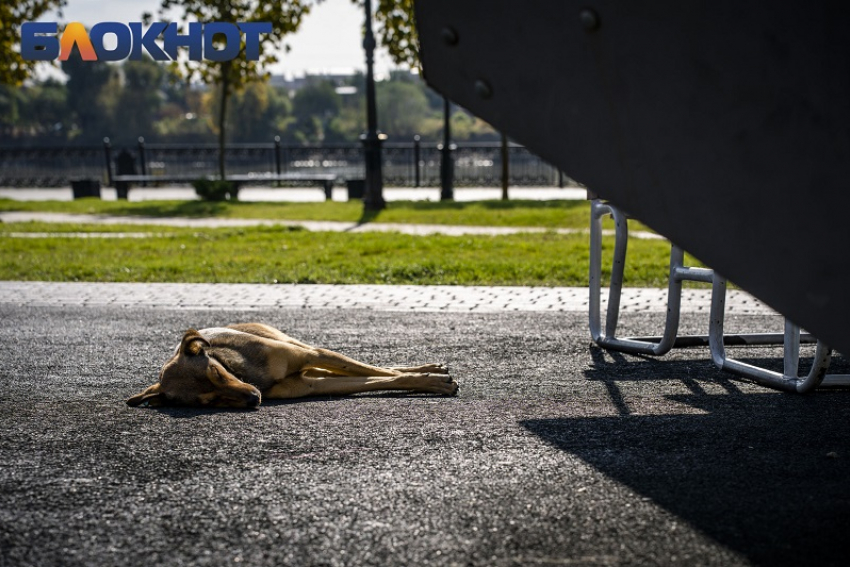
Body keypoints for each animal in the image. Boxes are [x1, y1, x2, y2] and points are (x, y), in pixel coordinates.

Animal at [126, 324, 458, 408]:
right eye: (210, 401)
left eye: (217, 372)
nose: (254, 399)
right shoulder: (309, 383)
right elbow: (382, 378)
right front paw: (432, 380)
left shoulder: (312, 355)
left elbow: (382, 373)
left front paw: (434, 379)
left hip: (299, 345)